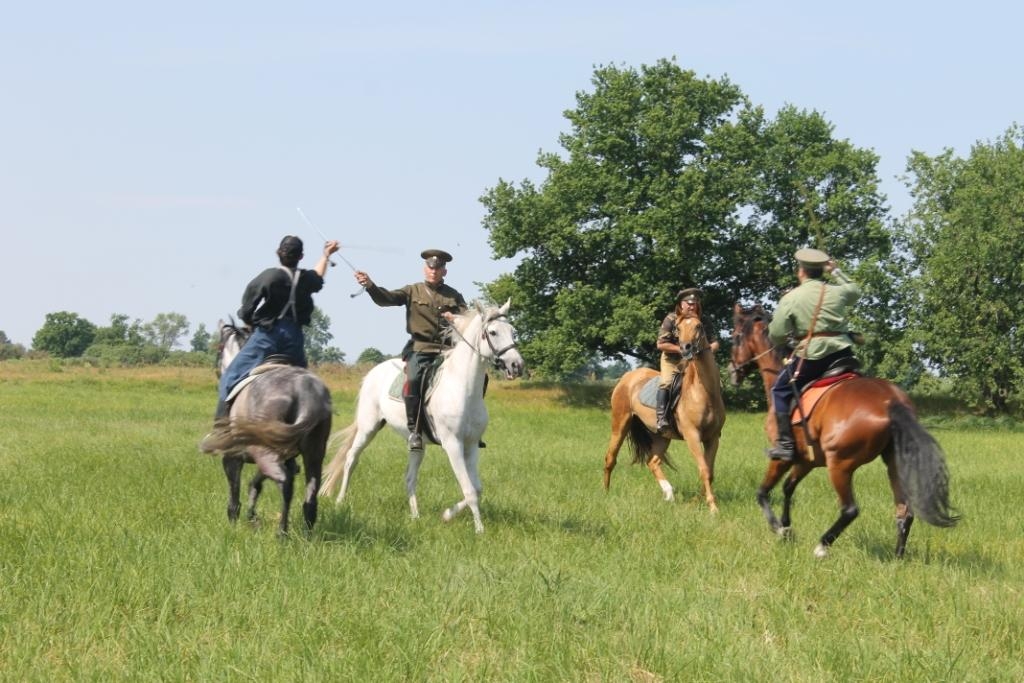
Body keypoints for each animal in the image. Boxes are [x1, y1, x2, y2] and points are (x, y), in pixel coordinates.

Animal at [200, 320, 333, 535]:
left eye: (219, 347)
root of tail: (304, 392)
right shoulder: (284, 457)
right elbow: (256, 483)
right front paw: (252, 515)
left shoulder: (232, 458)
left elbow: (235, 495)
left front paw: (234, 524)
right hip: (313, 453)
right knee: (310, 493)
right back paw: (307, 533)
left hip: (266, 452)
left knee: (285, 483)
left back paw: (282, 533)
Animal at [319, 300, 525, 533]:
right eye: (492, 332)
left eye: (512, 331)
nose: (517, 365)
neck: (463, 387)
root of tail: (373, 372)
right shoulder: (453, 444)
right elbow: (470, 490)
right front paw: (479, 530)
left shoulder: (471, 444)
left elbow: (477, 488)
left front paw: (447, 515)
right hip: (368, 427)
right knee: (350, 459)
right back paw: (340, 501)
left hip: (417, 444)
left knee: (409, 478)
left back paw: (415, 516)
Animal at [603, 314, 726, 510]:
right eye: (678, 328)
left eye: (699, 326)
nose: (686, 348)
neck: (704, 393)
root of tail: (627, 378)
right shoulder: (692, 436)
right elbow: (704, 469)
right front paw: (713, 507)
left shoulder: (712, 438)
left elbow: (709, 471)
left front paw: (698, 501)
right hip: (620, 424)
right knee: (610, 458)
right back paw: (606, 494)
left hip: (662, 435)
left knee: (652, 461)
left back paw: (669, 494)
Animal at [730, 303, 959, 557]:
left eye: (735, 337)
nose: (732, 372)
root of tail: (891, 402)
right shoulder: (807, 460)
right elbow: (788, 488)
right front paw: (787, 528)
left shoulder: (783, 457)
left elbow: (763, 492)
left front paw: (778, 528)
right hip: (893, 463)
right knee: (904, 512)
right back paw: (897, 557)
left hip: (839, 465)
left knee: (850, 509)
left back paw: (822, 546)